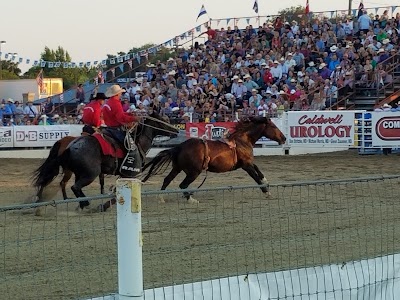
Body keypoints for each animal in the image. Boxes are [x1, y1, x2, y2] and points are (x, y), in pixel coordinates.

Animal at [32, 110, 178, 211]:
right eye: (162, 120)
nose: (176, 130)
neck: (137, 141)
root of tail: (69, 146)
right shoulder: (130, 174)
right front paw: (104, 205)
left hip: (79, 173)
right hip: (89, 174)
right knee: (74, 186)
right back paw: (84, 203)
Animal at [142, 116, 286, 203]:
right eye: (274, 127)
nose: (284, 138)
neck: (242, 140)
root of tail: (179, 147)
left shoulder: (247, 163)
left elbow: (258, 169)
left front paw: (265, 180)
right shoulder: (246, 165)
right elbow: (255, 177)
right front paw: (266, 192)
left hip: (177, 168)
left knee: (167, 180)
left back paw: (161, 197)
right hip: (193, 172)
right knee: (182, 185)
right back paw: (191, 200)